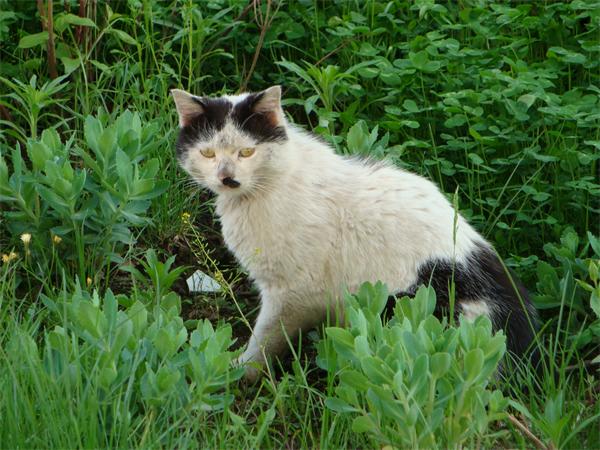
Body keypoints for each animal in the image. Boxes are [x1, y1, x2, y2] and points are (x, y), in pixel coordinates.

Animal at [171, 84, 536, 380]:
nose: (227, 178)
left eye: (247, 151)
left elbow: (265, 338)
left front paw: (240, 372)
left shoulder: (292, 294)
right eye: (208, 153)